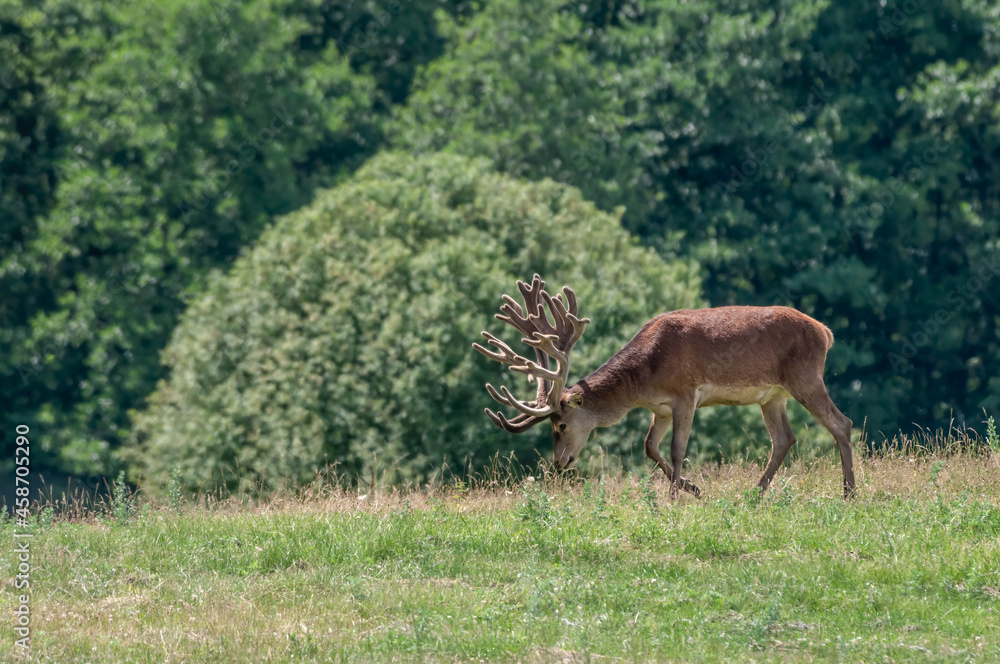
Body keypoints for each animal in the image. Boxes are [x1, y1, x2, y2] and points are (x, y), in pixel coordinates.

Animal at [472, 275, 856, 499]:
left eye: (561, 425)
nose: (559, 463)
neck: (645, 377)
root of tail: (826, 332)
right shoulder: (660, 408)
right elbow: (649, 447)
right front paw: (695, 489)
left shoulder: (686, 394)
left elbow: (676, 449)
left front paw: (674, 499)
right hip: (772, 395)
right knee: (784, 438)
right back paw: (754, 494)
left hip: (805, 376)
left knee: (842, 423)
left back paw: (849, 493)